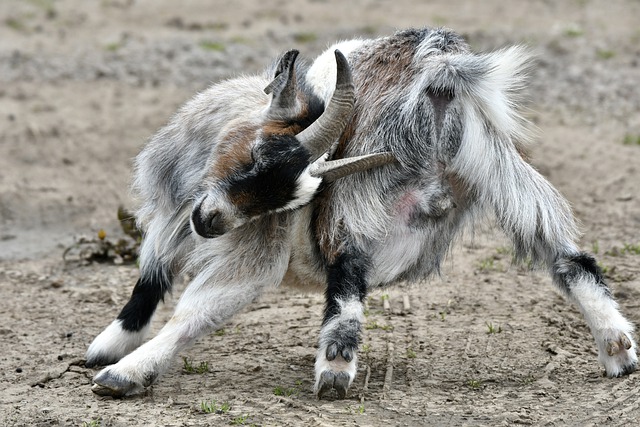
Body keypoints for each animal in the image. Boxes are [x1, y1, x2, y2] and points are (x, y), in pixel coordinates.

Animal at [85, 28, 636, 400]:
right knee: (569, 257)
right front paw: (109, 348)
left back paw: (333, 370)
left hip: (361, 188)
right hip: (497, 164)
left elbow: (196, 306)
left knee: (348, 272)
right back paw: (618, 350)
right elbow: (150, 280)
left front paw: (120, 371)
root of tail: (436, 75)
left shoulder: (246, 243)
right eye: (255, 155)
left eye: (292, 197)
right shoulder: (176, 218)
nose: (210, 224)